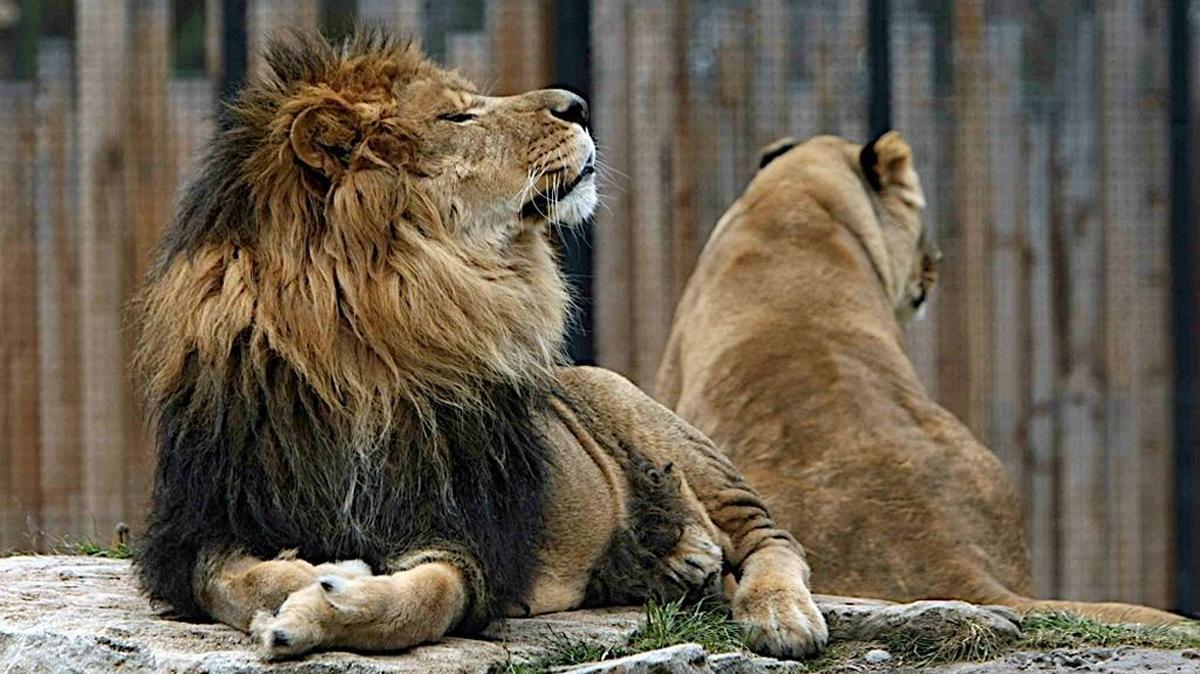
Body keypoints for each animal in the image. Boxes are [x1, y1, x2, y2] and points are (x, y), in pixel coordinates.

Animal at [131, 30, 826, 661]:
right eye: (458, 116)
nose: (578, 105)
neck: (358, 347)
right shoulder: (210, 523)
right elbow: (234, 579)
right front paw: (307, 581)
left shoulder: (467, 532)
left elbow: (424, 598)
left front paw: (323, 606)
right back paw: (675, 559)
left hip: (640, 413)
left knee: (772, 539)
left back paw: (778, 613)